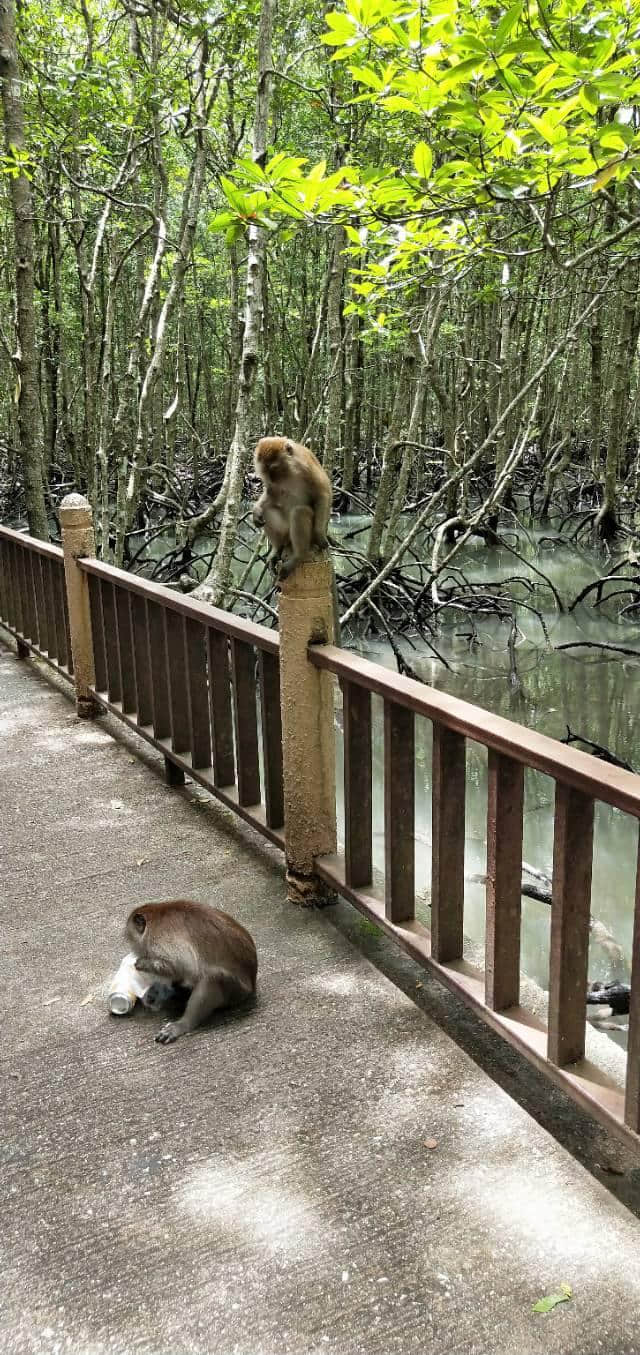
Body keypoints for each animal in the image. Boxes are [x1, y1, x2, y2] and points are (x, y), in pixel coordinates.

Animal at [124, 899, 257, 1046]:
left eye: (132, 941)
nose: (134, 951)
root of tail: (252, 985)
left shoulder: (160, 940)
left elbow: (183, 967)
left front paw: (142, 963)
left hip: (236, 991)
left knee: (212, 977)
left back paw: (183, 1024)